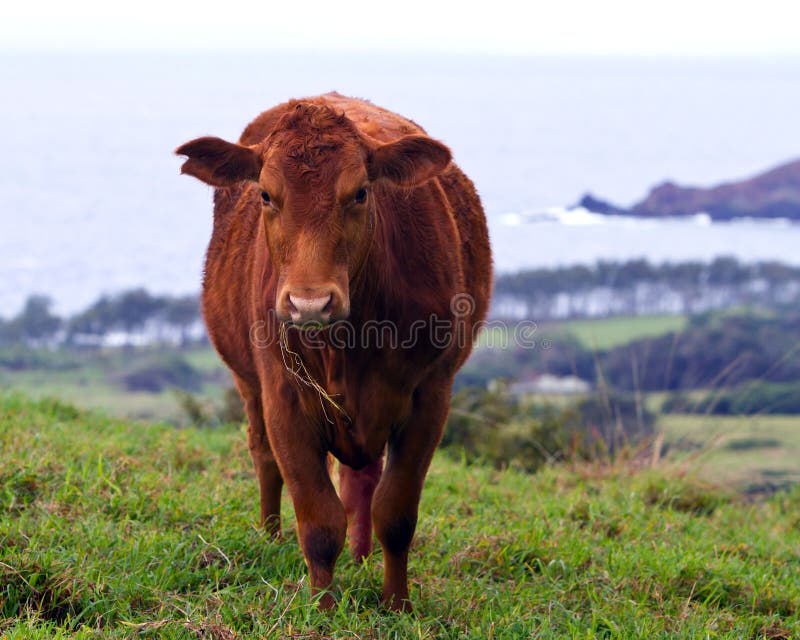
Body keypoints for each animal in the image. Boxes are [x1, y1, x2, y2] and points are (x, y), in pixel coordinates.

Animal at [176, 94, 490, 608]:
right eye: (266, 195)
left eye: (360, 193)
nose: (309, 302)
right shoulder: (284, 399)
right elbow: (320, 522)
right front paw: (322, 609)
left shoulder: (431, 395)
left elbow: (395, 513)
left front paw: (397, 604)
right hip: (248, 384)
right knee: (263, 456)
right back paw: (270, 538)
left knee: (362, 480)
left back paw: (362, 559)